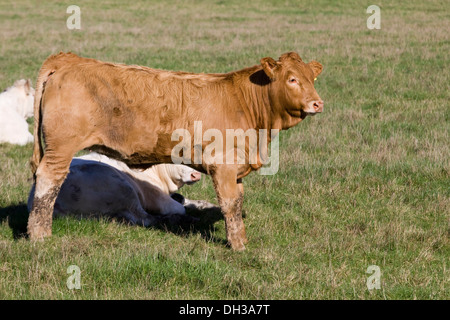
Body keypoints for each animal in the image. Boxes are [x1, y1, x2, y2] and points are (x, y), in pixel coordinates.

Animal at [26, 153, 206, 226]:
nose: (196, 174)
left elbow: (183, 199)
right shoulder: (158, 199)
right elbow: (180, 207)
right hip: (124, 189)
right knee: (146, 219)